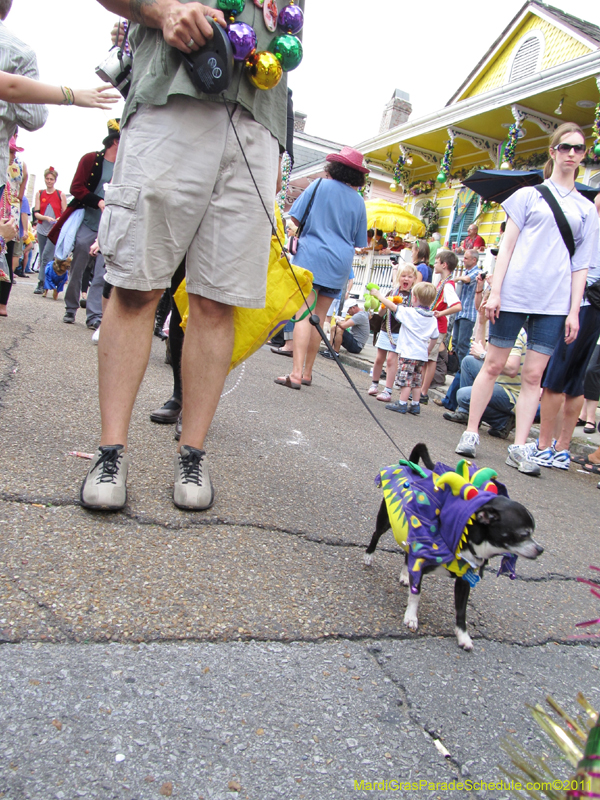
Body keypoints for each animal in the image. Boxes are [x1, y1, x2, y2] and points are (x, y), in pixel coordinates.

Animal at [360, 444, 544, 648]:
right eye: (523, 534)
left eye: (532, 533)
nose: (540, 549)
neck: (463, 539)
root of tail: (410, 466)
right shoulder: (423, 559)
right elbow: (416, 594)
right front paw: (411, 617)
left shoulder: (463, 581)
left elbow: (461, 611)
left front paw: (463, 636)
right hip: (386, 521)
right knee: (376, 536)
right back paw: (369, 556)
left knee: (408, 554)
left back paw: (405, 575)